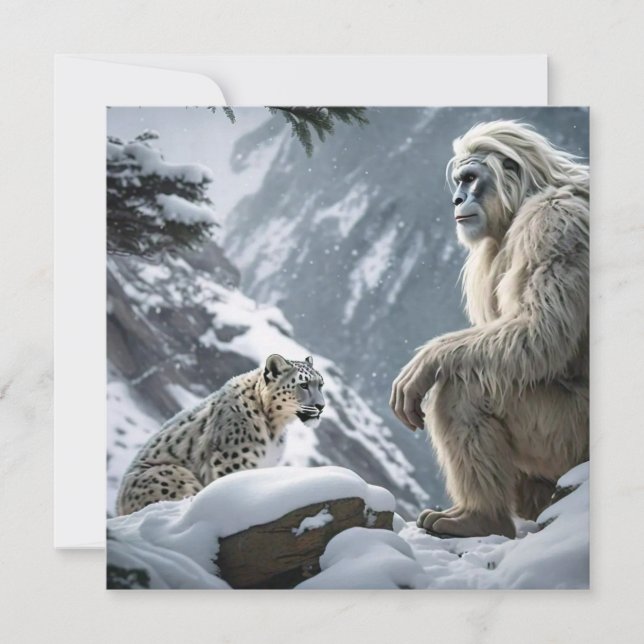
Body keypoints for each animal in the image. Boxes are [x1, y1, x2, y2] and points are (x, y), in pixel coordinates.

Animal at [116, 354, 325, 515]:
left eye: (321, 384)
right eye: (303, 384)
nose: (321, 406)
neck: (274, 428)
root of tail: (118, 506)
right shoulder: (234, 461)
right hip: (172, 475)